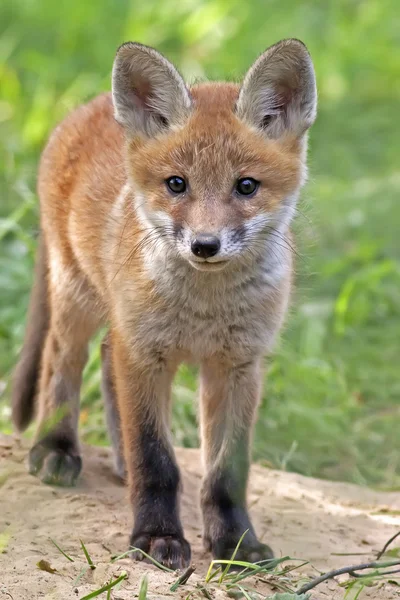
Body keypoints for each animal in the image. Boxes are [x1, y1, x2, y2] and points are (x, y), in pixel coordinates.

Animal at [11, 39, 316, 568]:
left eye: (246, 186)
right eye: (177, 184)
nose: (205, 245)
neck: (204, 311)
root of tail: (85, 107)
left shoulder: (238, 365)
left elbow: (226, 473)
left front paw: (236, 543)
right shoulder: (145, 354)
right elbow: (156, 461)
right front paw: (156, 538)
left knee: (105, 361)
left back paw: (117, 462)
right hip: (76, 297)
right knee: (61, 361)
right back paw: (56, 447)